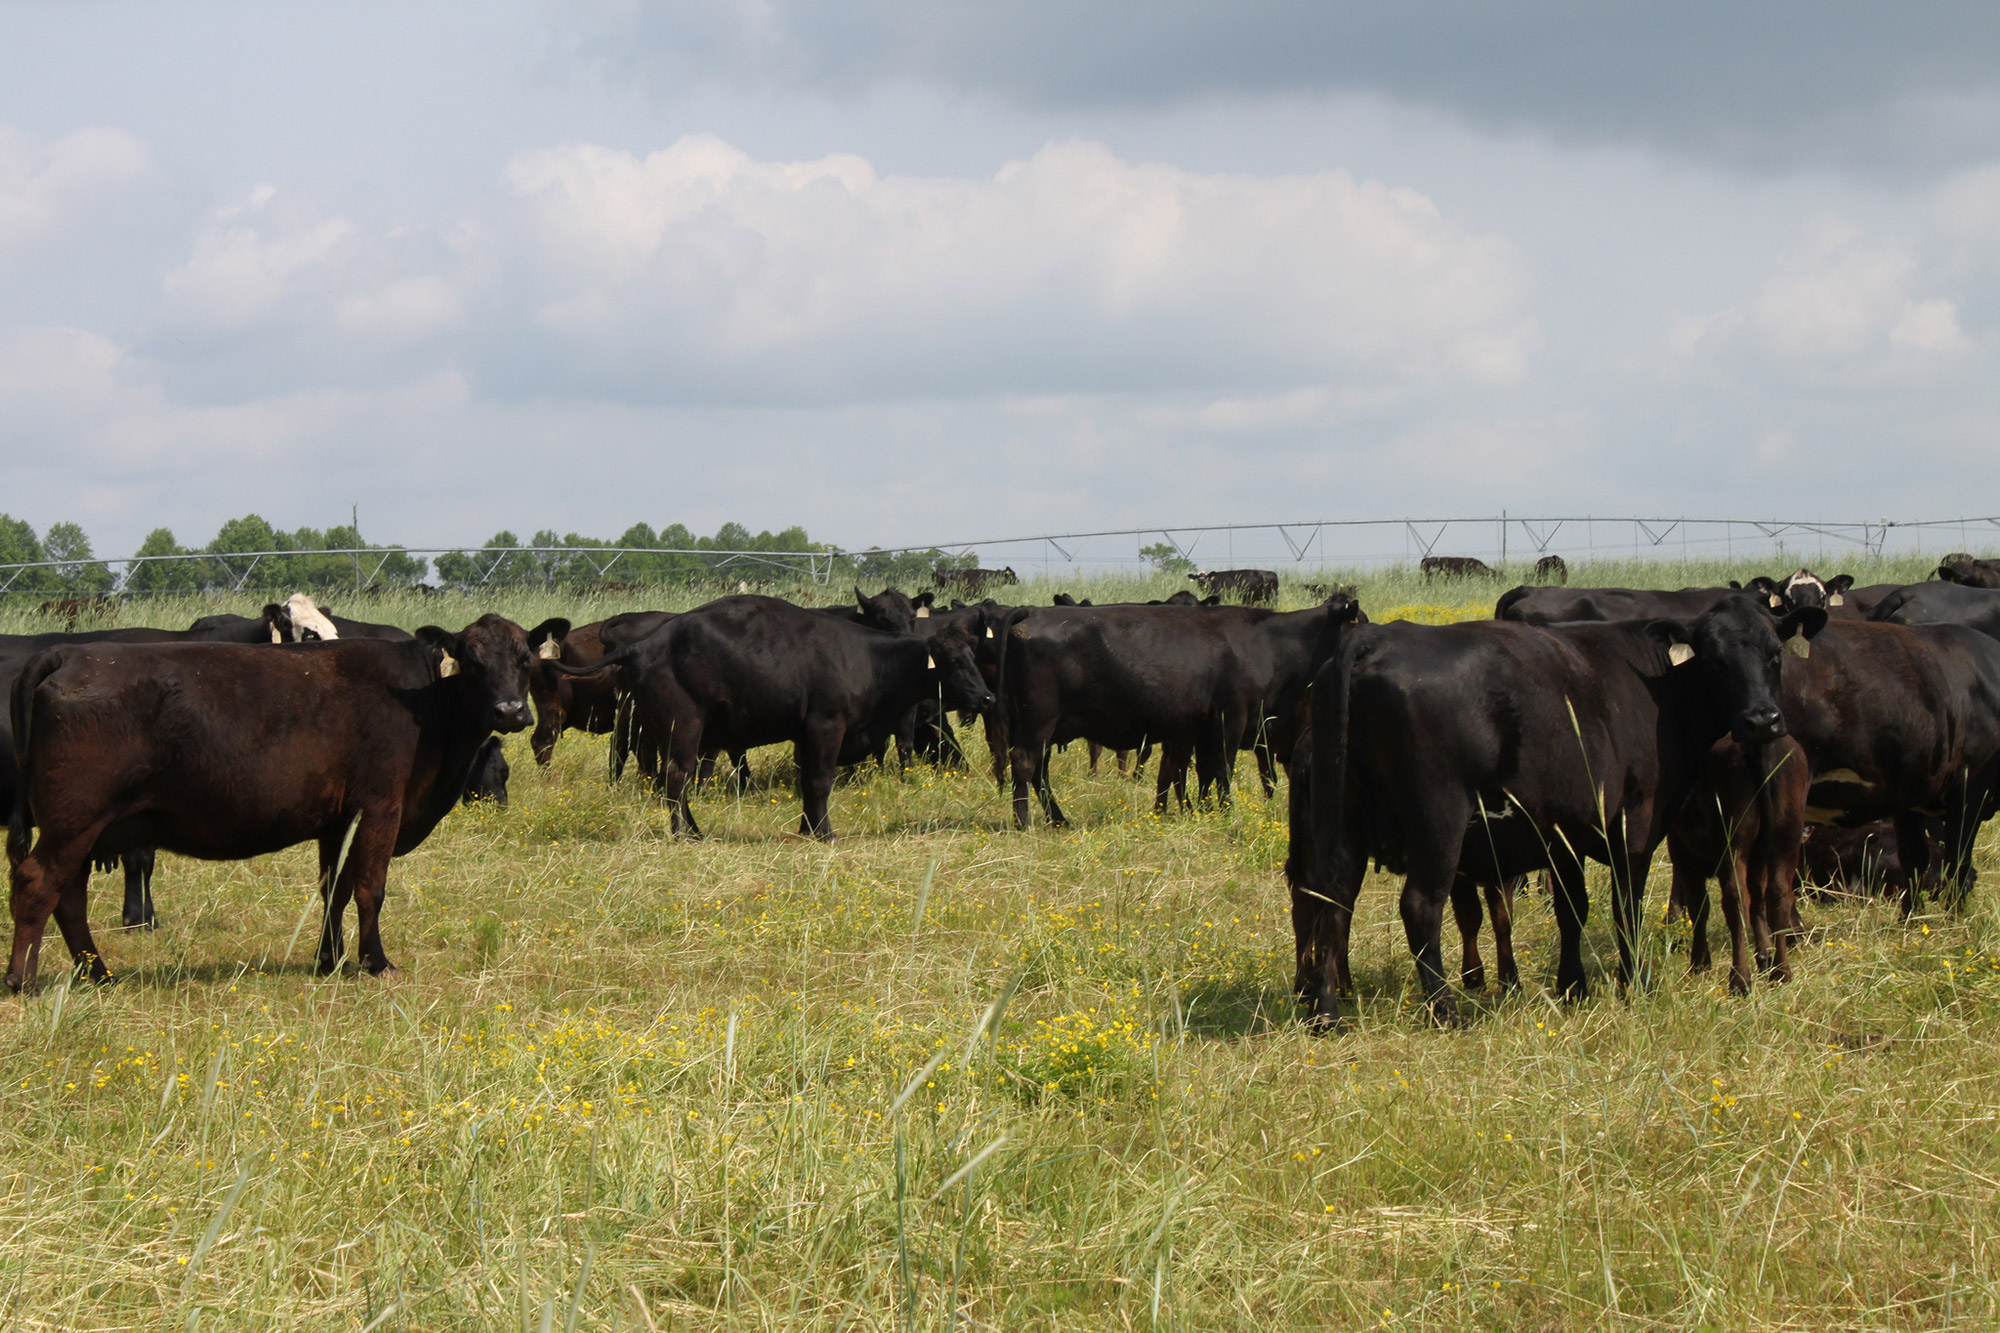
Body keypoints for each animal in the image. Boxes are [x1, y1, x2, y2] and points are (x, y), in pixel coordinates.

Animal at [5, 616, 540, 984]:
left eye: (525, 660)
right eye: (472, 660)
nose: (511, 710)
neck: (425, 705)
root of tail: (70, 653)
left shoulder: (338, 821)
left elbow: (334, 890)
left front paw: (331, 961)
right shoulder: (380, 808)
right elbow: (371, 889)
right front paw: (376, 962)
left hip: (83, 828)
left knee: (68, 896)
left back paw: (97, 974)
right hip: (75, 822)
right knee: (38, 883)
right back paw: (23, 979)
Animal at [560, 592, 996, 836]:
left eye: (973, 655)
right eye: (953, 660)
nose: (988, 697)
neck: (867, 659)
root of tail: (646, 643)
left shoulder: (806, 736)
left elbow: (808, 783)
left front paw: (807, 828)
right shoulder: (825, 727)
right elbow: (820, 782)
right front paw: (823, 833)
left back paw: (695, 830)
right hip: (683, 728)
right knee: (675, 779)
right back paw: (683, 833)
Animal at [996, 596, 1360, 824]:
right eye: (1360, 623)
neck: (1265, 642)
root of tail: (1032, 611)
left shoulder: (1199, 727)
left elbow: (1199, 772)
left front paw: (1202, 809)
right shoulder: (1232, 717)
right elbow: (1222, 768)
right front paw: (1226, 810)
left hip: (1042, 725)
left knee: (1039, 771)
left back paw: (1058, 819)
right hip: (1039, 720)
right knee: (1025, 763)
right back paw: (1023, 821)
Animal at [1296, 596, 1832, 1020]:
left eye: (1775, 654)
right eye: (1716, 660)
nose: (1762, 720)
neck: (1661, 692)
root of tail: (1374, 638)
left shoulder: (1564, 831)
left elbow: (1572, 909)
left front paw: (1573, 985)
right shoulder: (1633, 826)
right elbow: (1625, 907)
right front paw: (1634, 982)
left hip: (1340, 822)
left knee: (1330, 898)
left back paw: (1328, 1012)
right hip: (1439, 823)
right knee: (1419, 906)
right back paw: (1446, 1010)